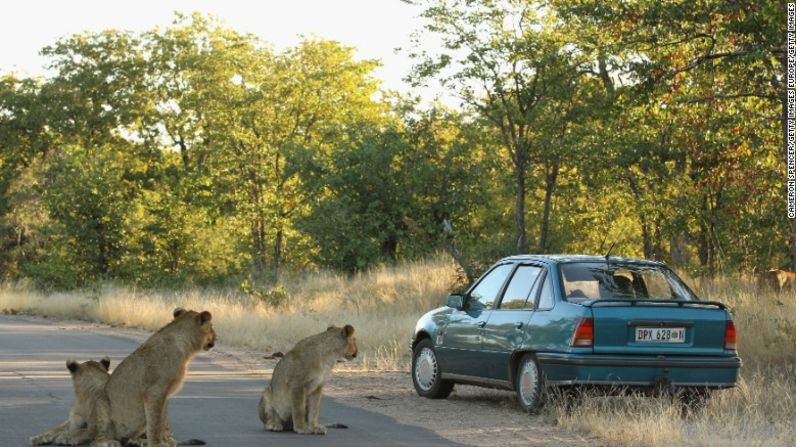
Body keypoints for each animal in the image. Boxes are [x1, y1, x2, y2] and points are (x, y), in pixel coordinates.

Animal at [92, 310, 215, 447]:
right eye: (212, 326)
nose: (216, 337)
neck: (186, 349)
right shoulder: (154, 391)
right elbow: (155, 421)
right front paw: (157, 443)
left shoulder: (165, 395)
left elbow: (163, 420)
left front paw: (165, 441)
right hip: (101, 403)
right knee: (96, 440)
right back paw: (110, 442)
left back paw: (136, 441)